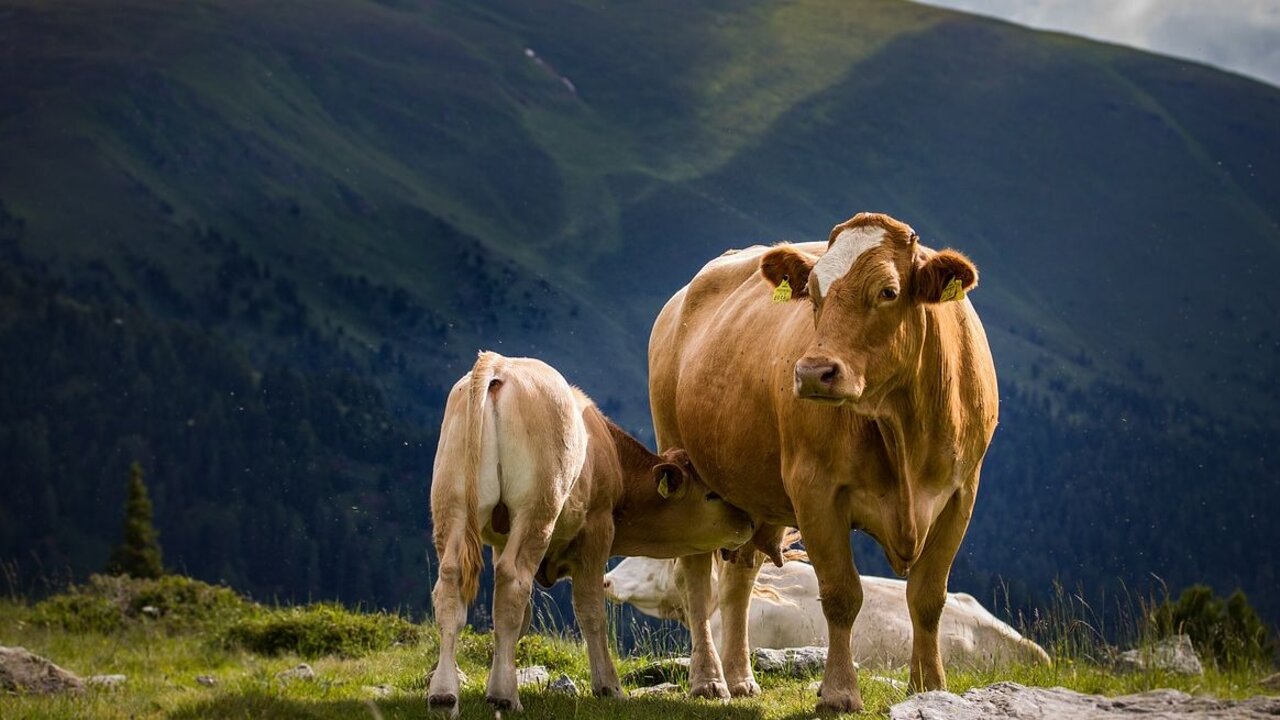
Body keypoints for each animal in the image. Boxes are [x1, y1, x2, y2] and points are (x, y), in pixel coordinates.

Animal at [424, 351, 752, 707]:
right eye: (711, 495)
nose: (748, 521)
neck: (612, 456)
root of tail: (499, 366)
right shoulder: (598, 529)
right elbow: (591, 609)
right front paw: (608, 686)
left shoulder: (500, 539)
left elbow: (518, 618)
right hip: (537, 508)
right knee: (513, 581)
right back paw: (504, 697)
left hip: (451, 504)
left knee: (451, 583)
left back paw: (443, 693)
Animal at [650, 210, 998, 707]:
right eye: (813, 293)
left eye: (888, 291)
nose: (814, 372)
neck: (903, 427)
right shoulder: (815, 490)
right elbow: (841, 595)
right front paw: (838, 692)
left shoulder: (960, 494)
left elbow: (929, 597)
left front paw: (930, 686)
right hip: (682, 462)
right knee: (697, 579)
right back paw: (709, 680)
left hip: (749, 494)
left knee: (740, 578)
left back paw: (740, 676)